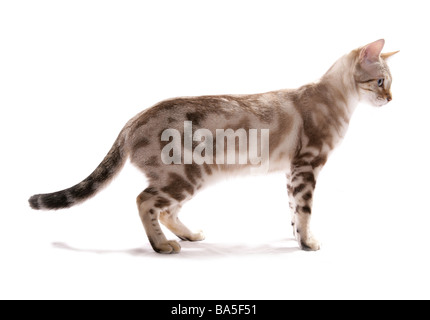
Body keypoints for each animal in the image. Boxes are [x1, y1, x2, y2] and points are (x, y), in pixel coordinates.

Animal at [29, 39, 400, 252]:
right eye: (381, 81)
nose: (391, 99)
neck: (338, 99)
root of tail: (133, 120)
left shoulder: (293, 171)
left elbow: (294, 211)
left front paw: (298, 237)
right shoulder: (308, 165)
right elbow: (305, 210)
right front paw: (308, 243)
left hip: (190, 178)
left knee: (166, 211)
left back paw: (189, 236)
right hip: (183, 175)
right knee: (144, 202)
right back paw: (162, 246)